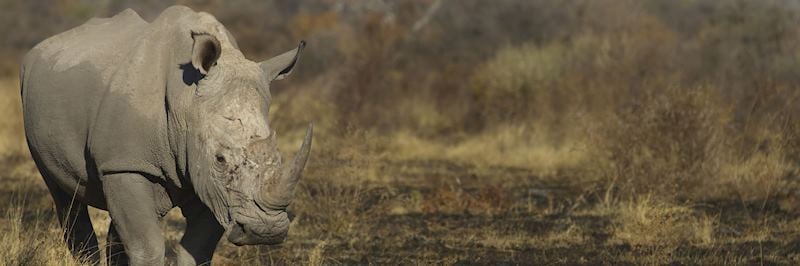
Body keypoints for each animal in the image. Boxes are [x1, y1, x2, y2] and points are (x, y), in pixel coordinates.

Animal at [19, 5, 312, 264]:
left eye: (279, 157)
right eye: (220, 159)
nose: (266, 231)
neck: (187, 102)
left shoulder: (212, 184)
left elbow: (196, 250)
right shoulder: (126, 164)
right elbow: (147, 246)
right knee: (64, 195)